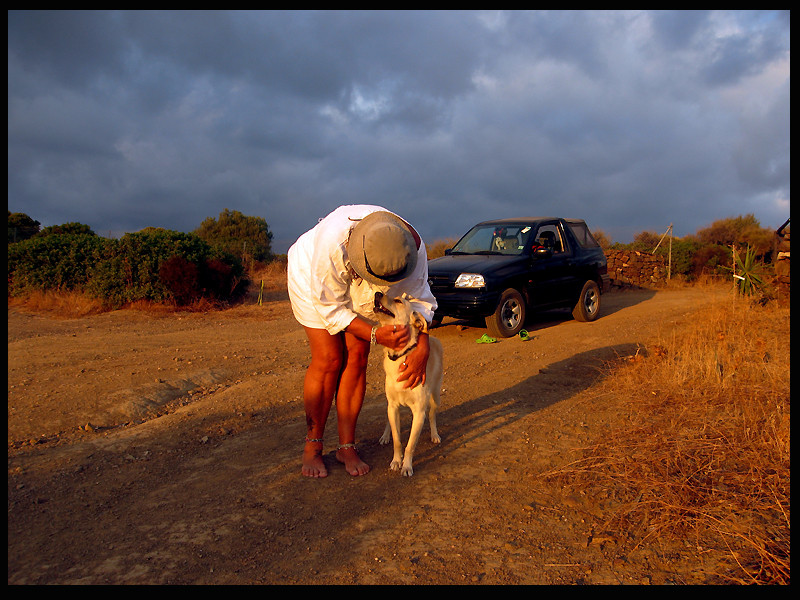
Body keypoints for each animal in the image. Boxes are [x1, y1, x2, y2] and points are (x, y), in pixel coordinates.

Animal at [376, 292, 444, 476]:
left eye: (398, 301)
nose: (377, 294)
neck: (400, 356)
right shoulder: (393, 406)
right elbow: (398, 440)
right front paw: (395, 461)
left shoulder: (419, 413)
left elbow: (410, 445)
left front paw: (406, 466)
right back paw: (385, 436)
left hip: (435, 396)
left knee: (432, 415)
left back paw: (435, 434)